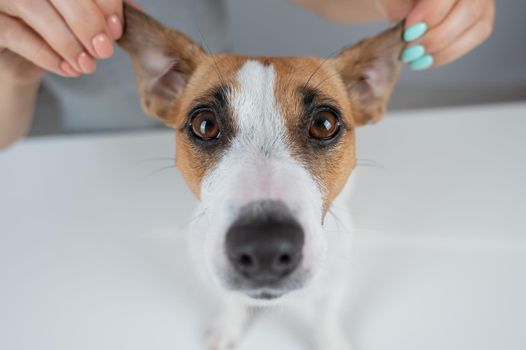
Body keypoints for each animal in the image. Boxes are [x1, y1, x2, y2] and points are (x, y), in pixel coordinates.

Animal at [119, 3, 406, 350]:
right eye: (205, 125)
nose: (264, 248)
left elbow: (325, 314)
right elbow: (231, 299)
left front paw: (329, 339)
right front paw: (229, 327)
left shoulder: (332, 284)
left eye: (324, 124)